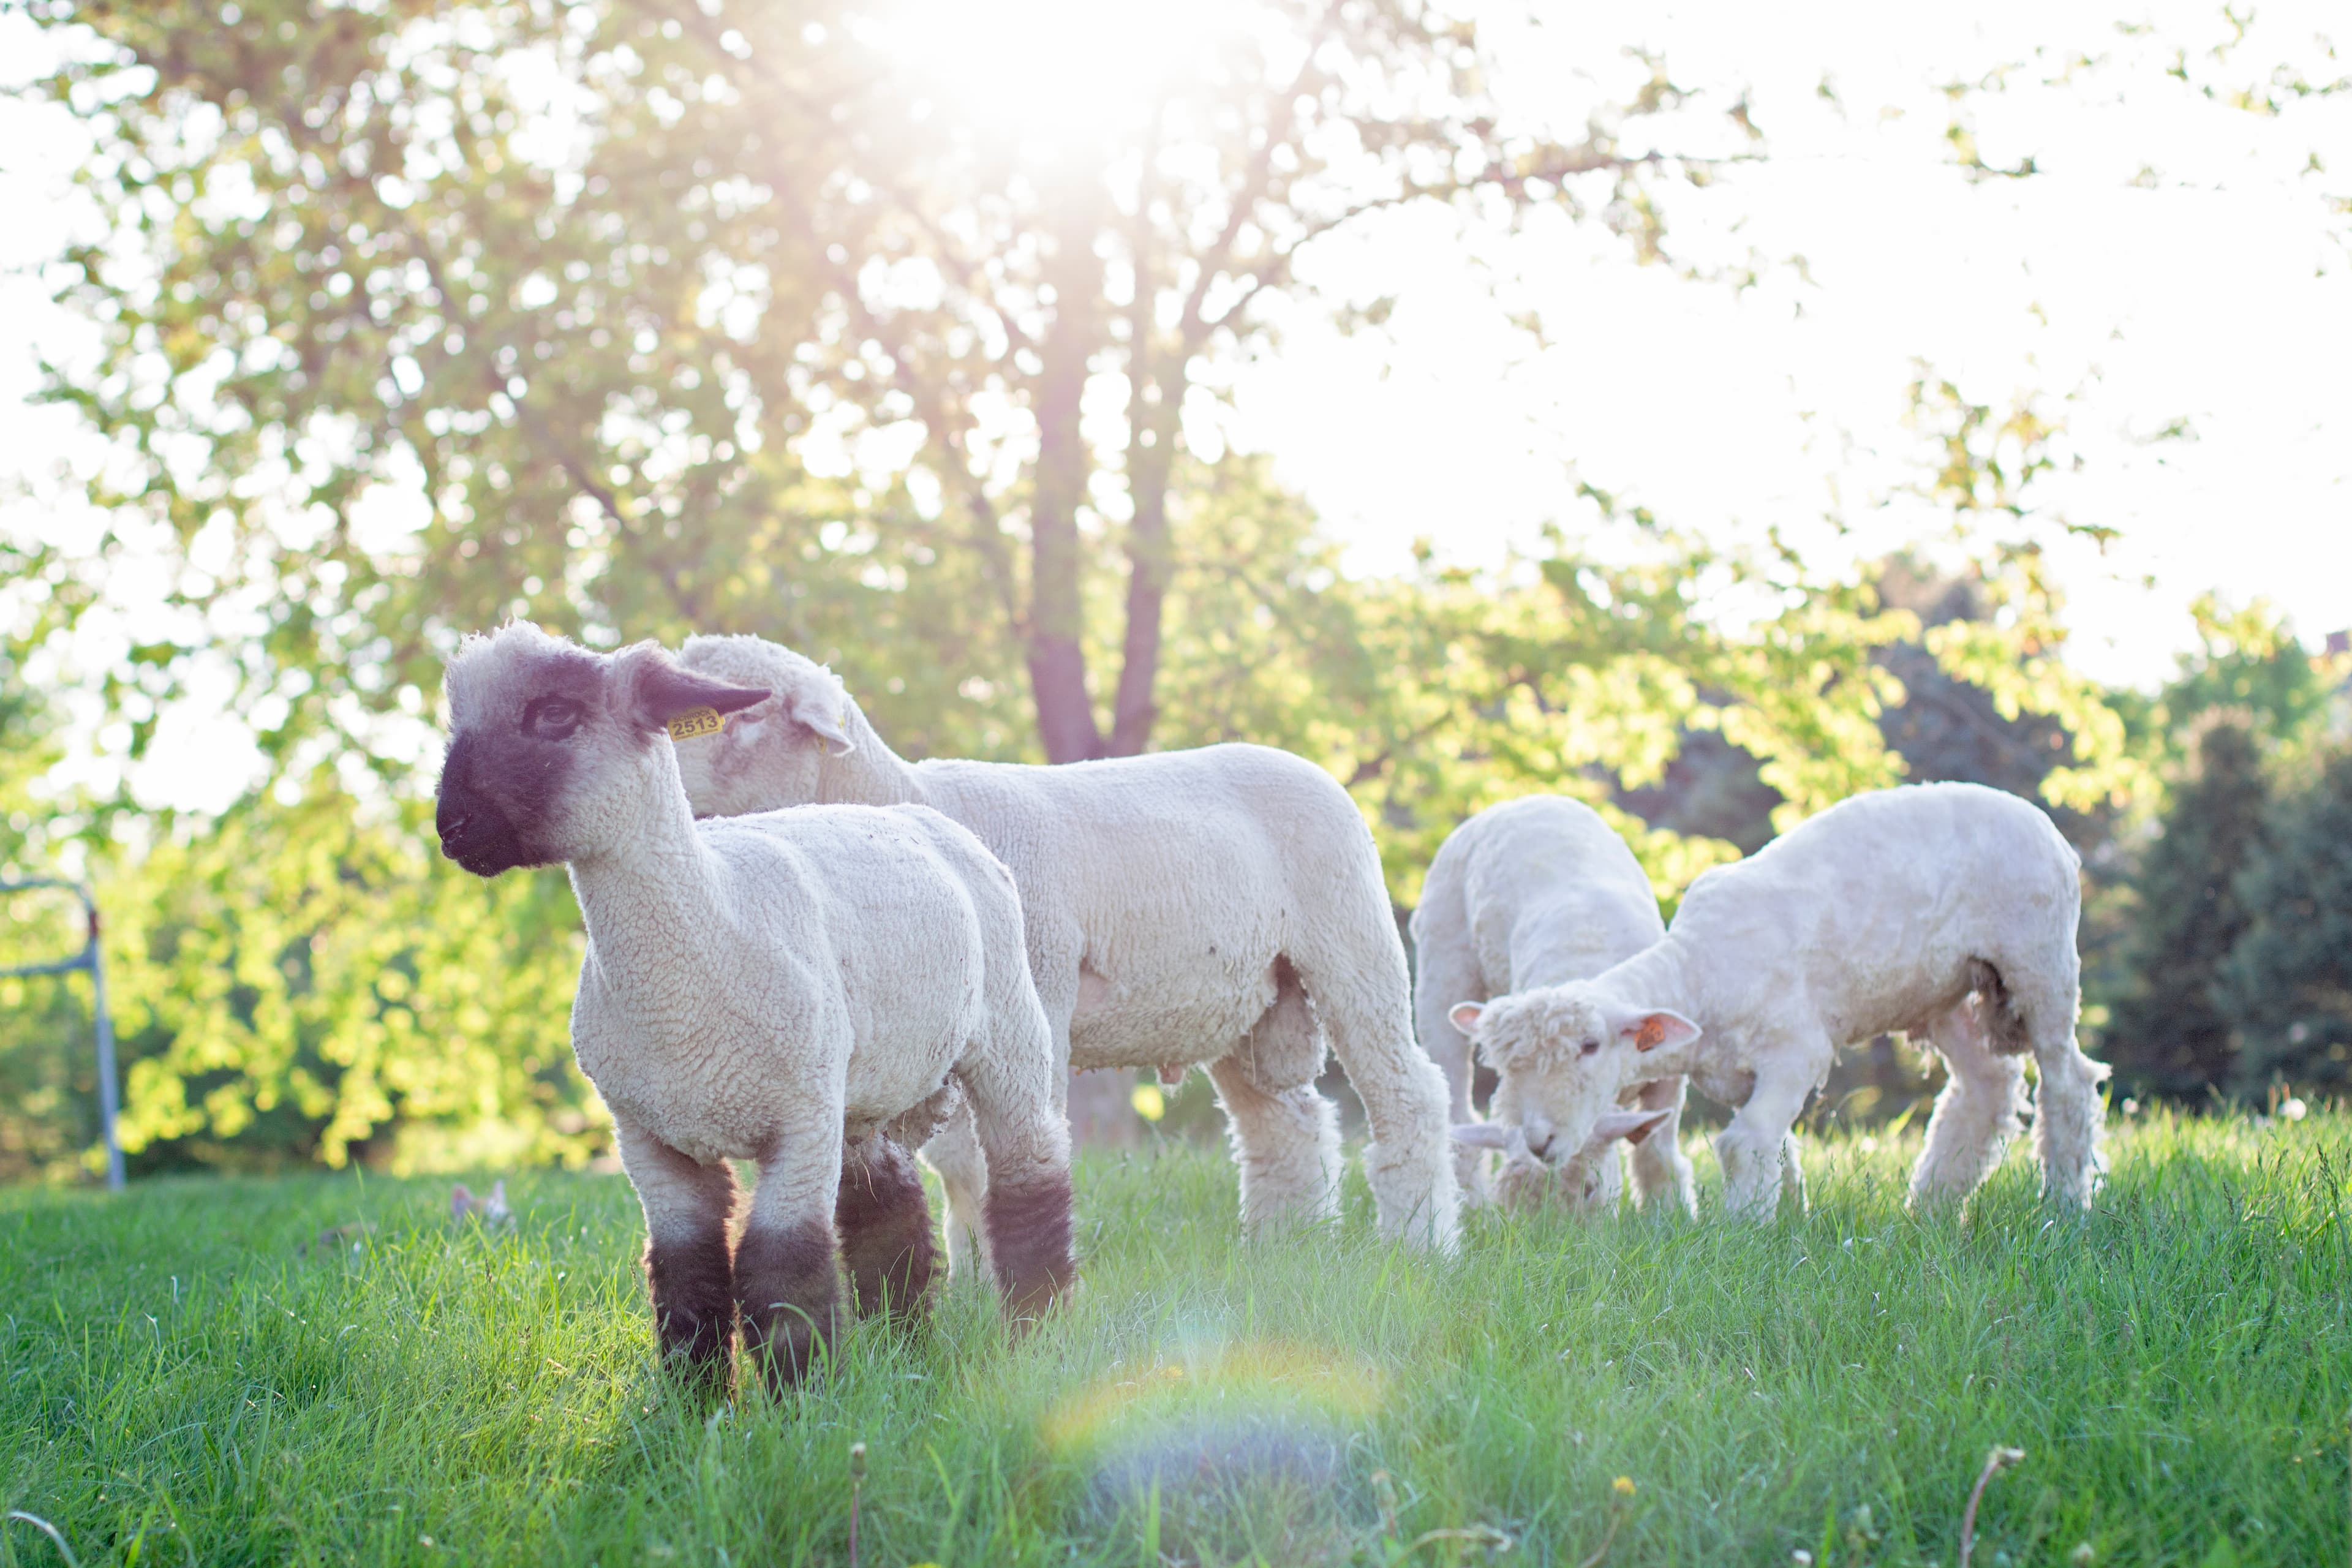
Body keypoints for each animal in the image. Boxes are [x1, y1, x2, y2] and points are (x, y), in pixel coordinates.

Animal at [433, 623, 1074, 1391]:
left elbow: (783, 1266)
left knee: (1028, 1170)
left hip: (1007, 1030)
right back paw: (903, 1341)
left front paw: (802, 1395)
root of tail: (908, 812)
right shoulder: (648, 1138)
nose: (450, 825)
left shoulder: (798, 1123)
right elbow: (686, 1274)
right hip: (862, 1084)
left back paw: (1040, 1329)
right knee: (888, 1204)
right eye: (455, 719)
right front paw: (695, 1399)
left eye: (555, 713)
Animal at [666, 633, 1462, 1262]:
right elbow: (960, 1168)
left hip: (1352, 940)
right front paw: (971, 1284)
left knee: (1411, 1095)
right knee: (1284, 1125)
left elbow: (1001, 1156)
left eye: (748, 711)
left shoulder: (1036, 997)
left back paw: (1421, 1245)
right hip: (1243, 1000)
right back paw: (1282, 1249)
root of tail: (1311, 763)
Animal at [1411, 795, 1696, 1215]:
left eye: (1591, 1046)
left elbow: (1656, 1152)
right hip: (1440, 968)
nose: (1539, 1141)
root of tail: (1517, 801)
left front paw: (1670, 1213)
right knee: (1458, 1111)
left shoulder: (1669, 1072)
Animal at [1446, 782, 2107, 1220]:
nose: (1539, 1140)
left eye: (1589, 1046)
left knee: (2067, 1081)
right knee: (1985, 1087)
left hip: (2038, 958)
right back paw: (1933, 1205)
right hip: (1941, 991)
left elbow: (1744, 1144)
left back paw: (2063, 1203)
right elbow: (1776, 1148)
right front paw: (1788, 1218)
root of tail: (2039, 819)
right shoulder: (1744, 1075)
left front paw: (1746, 1236)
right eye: (1505, 1067)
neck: (1698, 971)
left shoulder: (1796, 1049)